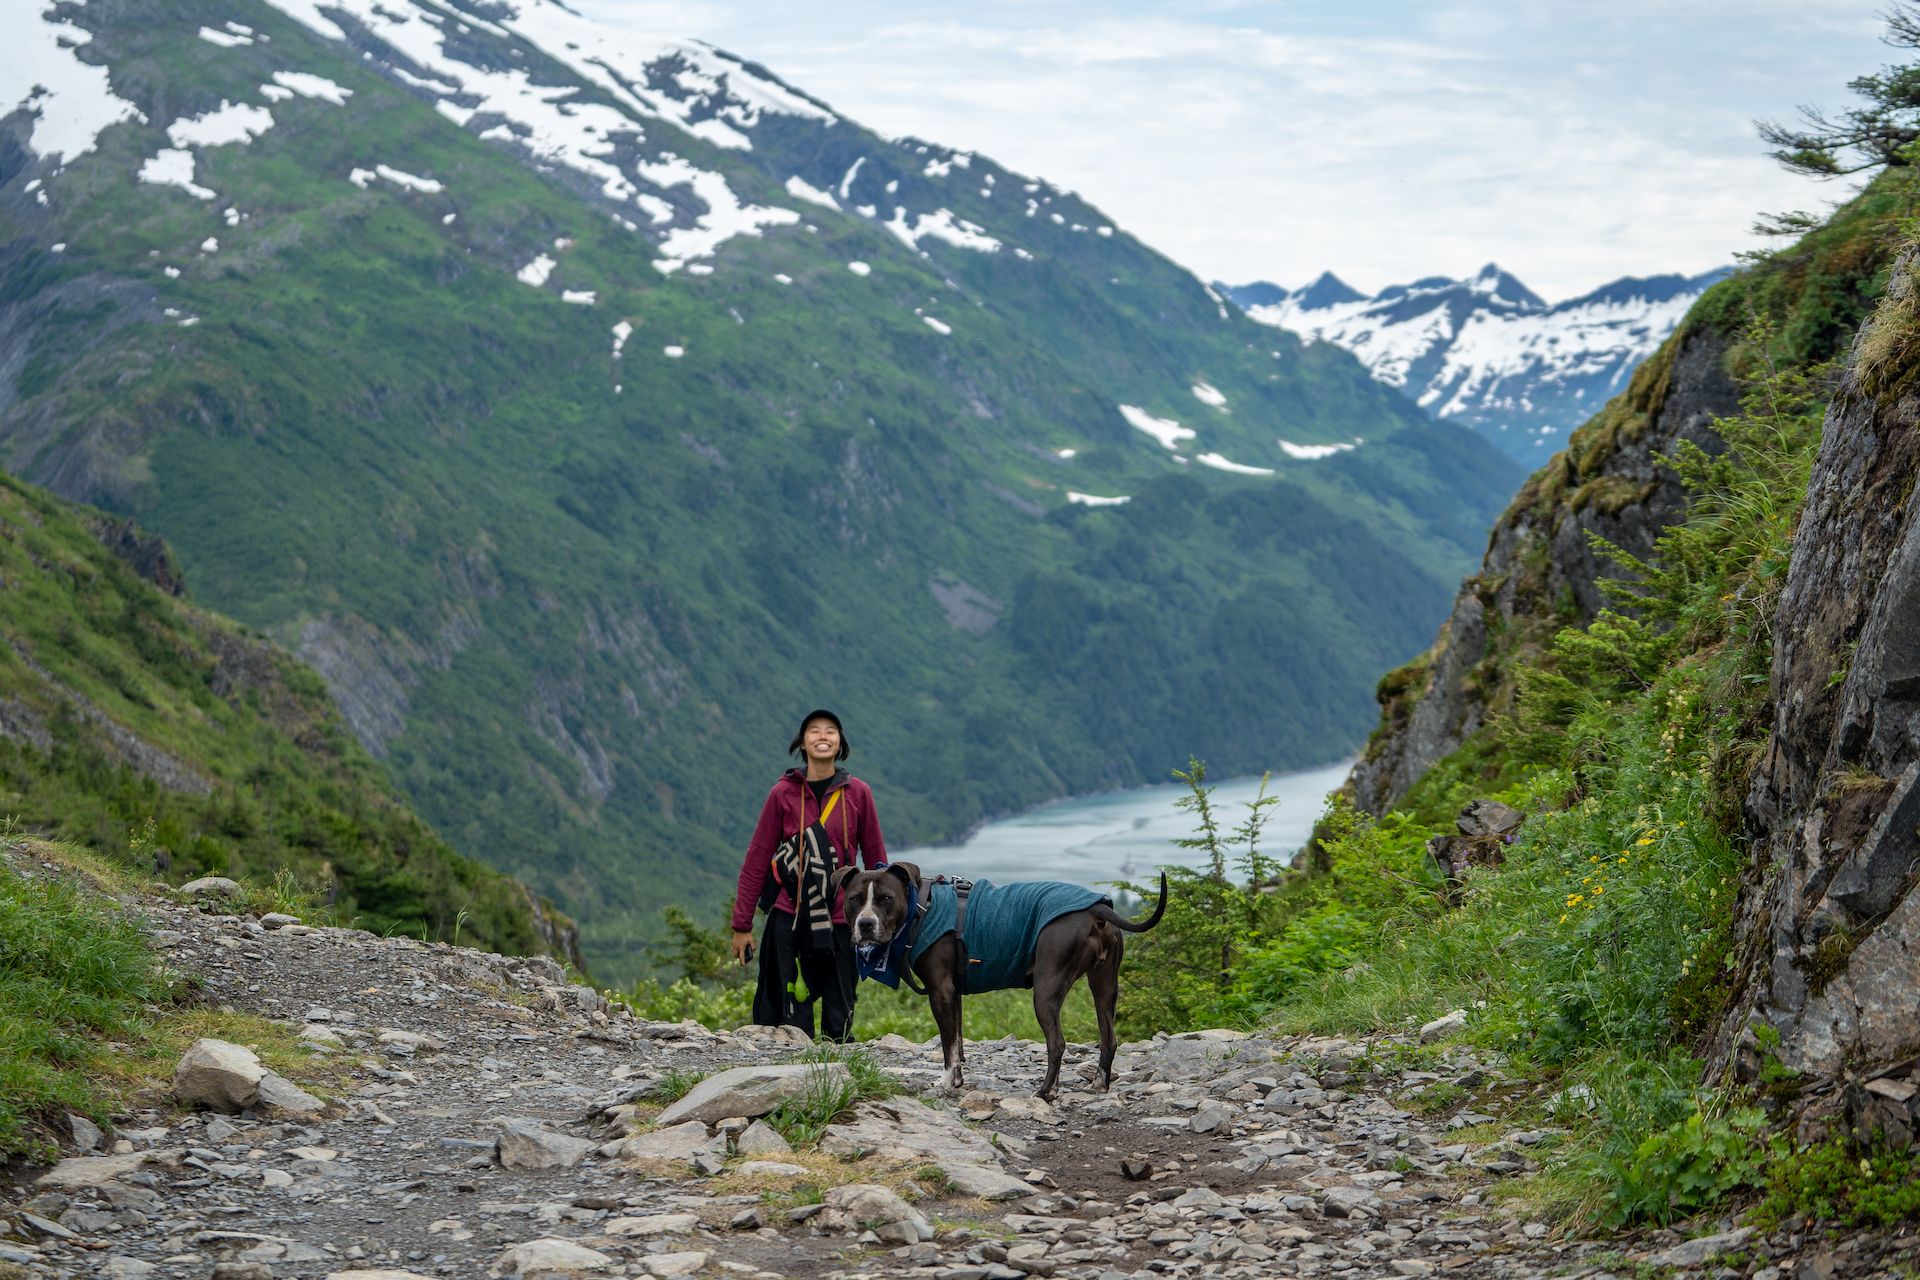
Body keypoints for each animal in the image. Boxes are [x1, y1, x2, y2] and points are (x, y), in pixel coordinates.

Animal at [840, 859, 1167, 1105]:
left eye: (886, 898)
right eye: (855, 899)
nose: (865, 924)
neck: (921, 907)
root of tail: (1097, 908)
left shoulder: (940, 991)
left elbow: (947, 1045)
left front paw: (945, 1082)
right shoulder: (953, 993)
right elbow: (957, 1040)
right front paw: (957, 1079)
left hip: (1047, 988)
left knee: (1057, 1043)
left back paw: (1045, 1091)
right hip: (1104, 985)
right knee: (1108, 1037)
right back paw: (1098, 1085)